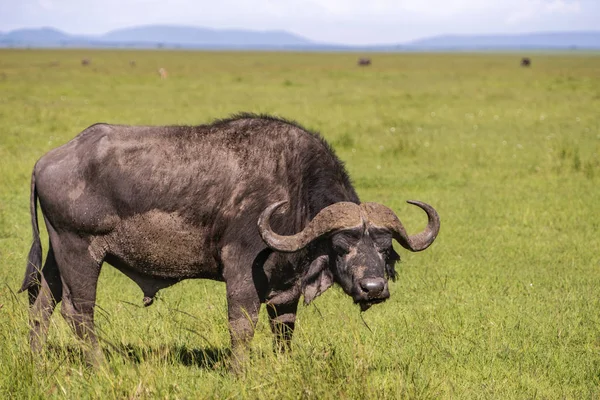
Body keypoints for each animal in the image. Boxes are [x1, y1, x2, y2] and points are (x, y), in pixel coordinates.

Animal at [21, 114, 438, 370]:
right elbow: (242, 325)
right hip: (80, 251)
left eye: (384, 249)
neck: (294, 193)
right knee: (78, 313)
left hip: (57, 256)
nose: (373, 288)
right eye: (341, 245)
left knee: (42, 306)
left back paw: (36, 361)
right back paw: (99, 366)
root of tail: (46, 161)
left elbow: (284, 329)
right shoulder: (241, 271)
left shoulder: (286, 287)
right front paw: (239, 372)